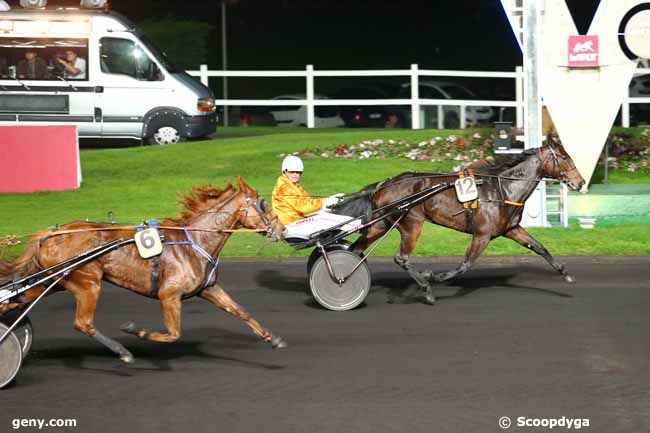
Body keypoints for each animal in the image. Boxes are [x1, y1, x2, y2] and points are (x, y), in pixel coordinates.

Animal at [0, 176, 284, 362]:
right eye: (262, 203)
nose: (281, 228)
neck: (195, 240)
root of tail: (50, 233)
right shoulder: (169, 295)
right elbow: (173, 334)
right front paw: (134, 330)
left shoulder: (209, 289)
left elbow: (241, 312)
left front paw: (272, 338)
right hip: (86, 282)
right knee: (83, 323)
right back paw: (123, 352)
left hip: (54, 282)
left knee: (16, 301)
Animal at [336, 135, 584, 304]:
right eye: (564, 157)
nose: (580, 182)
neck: (502, 189)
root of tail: (384, 184)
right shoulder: (482, 235)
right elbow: (465, 265)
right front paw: (433, 276)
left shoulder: (511, 229)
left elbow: (540, 247)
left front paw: (565, 274)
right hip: (411, 223)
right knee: (401, 257)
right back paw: (426, 289)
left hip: (381, 223)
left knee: (357, 249)